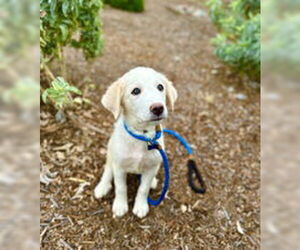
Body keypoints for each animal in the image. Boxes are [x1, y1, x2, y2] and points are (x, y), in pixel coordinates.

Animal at [94, 67, 177, 218]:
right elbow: (121, 187)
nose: (158, 108)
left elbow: (143, 188)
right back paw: (102, 187)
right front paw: (120, 206)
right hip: (111, 155)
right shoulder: (119, 167)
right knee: (107, 171)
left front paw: (141, 206)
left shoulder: (151, 168)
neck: (143, 136)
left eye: (160, 87)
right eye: (136, 91)